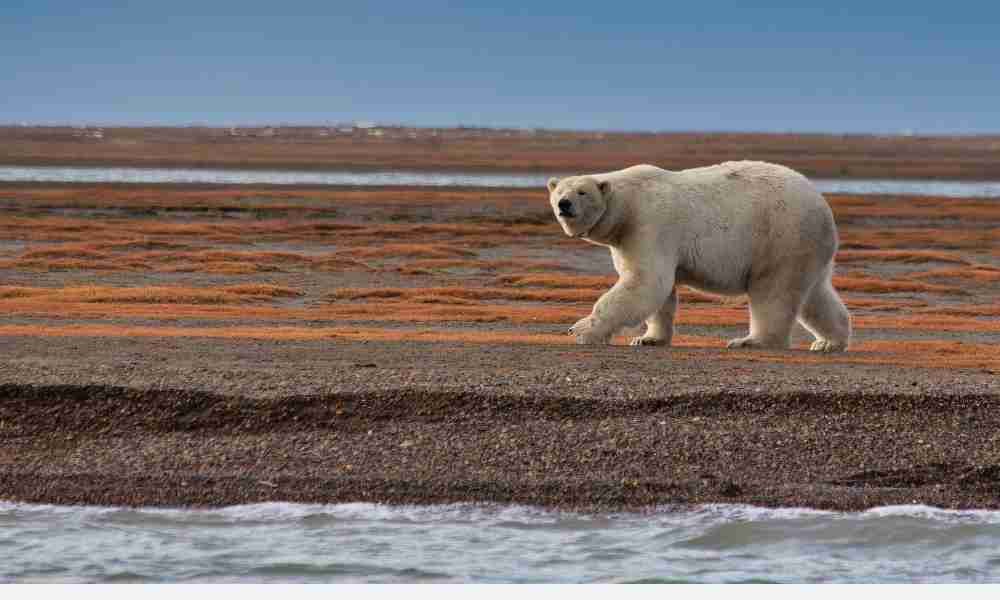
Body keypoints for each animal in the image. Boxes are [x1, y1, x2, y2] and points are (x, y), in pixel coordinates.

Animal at [548, 162, 852, 354]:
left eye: (582, 191)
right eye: (559, 191)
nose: (564, 204)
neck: (626, 207)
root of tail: (823, 206)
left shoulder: (649, 224)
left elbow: (645, 282)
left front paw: (581, 330)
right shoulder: (628, 238)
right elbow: (660, 292)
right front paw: (648, 339)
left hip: (781, 237)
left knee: (773, 292)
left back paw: (751, 341)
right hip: (807, 249)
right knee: (816, 295)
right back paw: (829, 342)